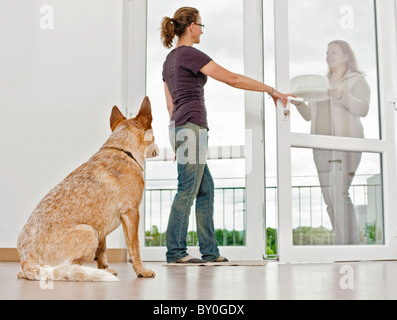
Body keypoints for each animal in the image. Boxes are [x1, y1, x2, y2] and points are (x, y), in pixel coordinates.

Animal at [16, 96, 159, 282]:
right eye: (154, 134)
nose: (158, 149)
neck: (123, 150)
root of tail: (26, 260)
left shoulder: (101, 226)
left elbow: (102, 251)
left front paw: (105, 268)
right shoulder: (131, 213)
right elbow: (135, 248)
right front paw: (141, 270)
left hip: (93, 232)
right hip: (89, 232)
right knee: (68, 267)